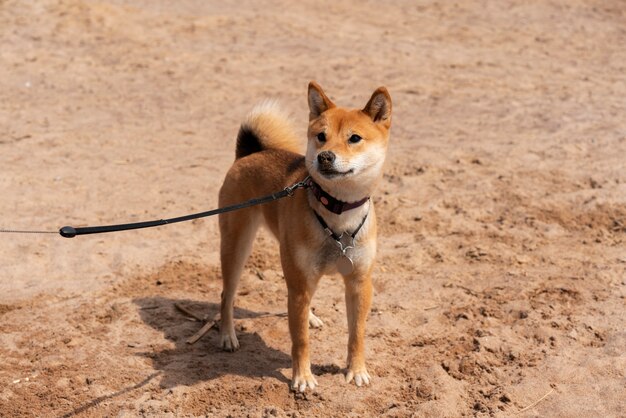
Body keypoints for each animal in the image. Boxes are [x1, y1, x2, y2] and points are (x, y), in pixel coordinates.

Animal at [216, 81, 390, 392]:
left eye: (354, 138)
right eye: (321, 137)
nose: (325, 156)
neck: (338, 211)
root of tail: (248, 154)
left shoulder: (359, 283)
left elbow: (357, 333)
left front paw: (357, 370)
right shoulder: (299, 284)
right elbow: (300, 341)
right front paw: (303, 378)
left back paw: (309, 316)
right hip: (237, 246)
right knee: (227, 293)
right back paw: (227, 336)